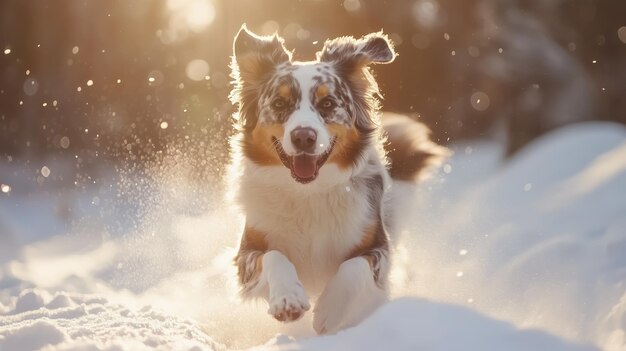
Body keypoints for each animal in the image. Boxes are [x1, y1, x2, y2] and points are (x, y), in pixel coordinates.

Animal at [227, 25, 446, 336]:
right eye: (279, 103)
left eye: (328, 103)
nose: (303, 137)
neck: (308, 192)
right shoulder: (247, 252)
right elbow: (275, 257)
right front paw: (287, 299)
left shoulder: (378, 249)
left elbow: (354, 267)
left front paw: (329, 311)